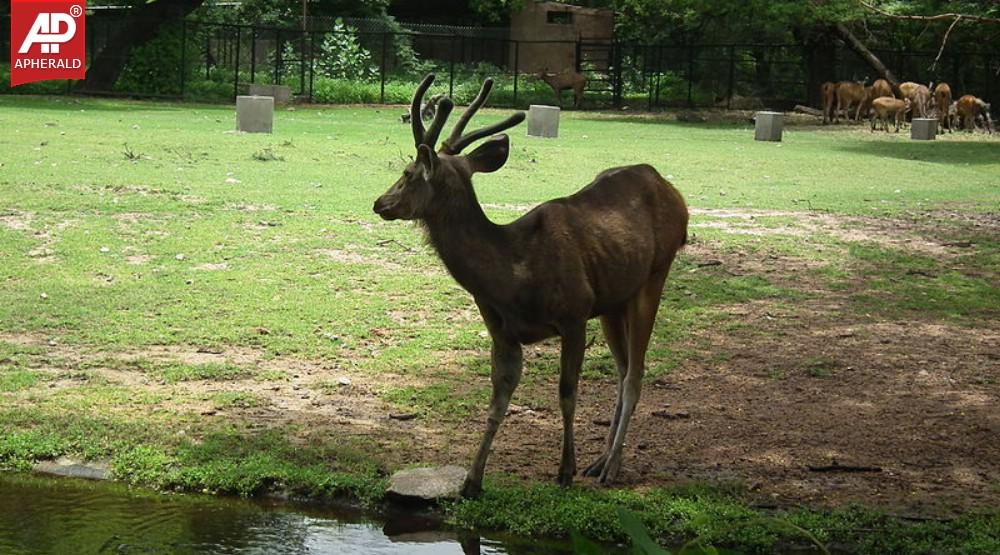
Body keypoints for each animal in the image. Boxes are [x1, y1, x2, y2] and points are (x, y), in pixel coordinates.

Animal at [372, 75, 692, 500]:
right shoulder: (501, 330)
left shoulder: (575, 313)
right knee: (623, 370)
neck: (512, 277)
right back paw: (603, 460)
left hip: (655, 274)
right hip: (614, 299)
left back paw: (610, 467)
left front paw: (564, 470)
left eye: (409, 173)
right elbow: (498, 399)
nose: (380, 202)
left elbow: (567, 393)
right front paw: (472, 480)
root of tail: (676, 194)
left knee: (636, 372)